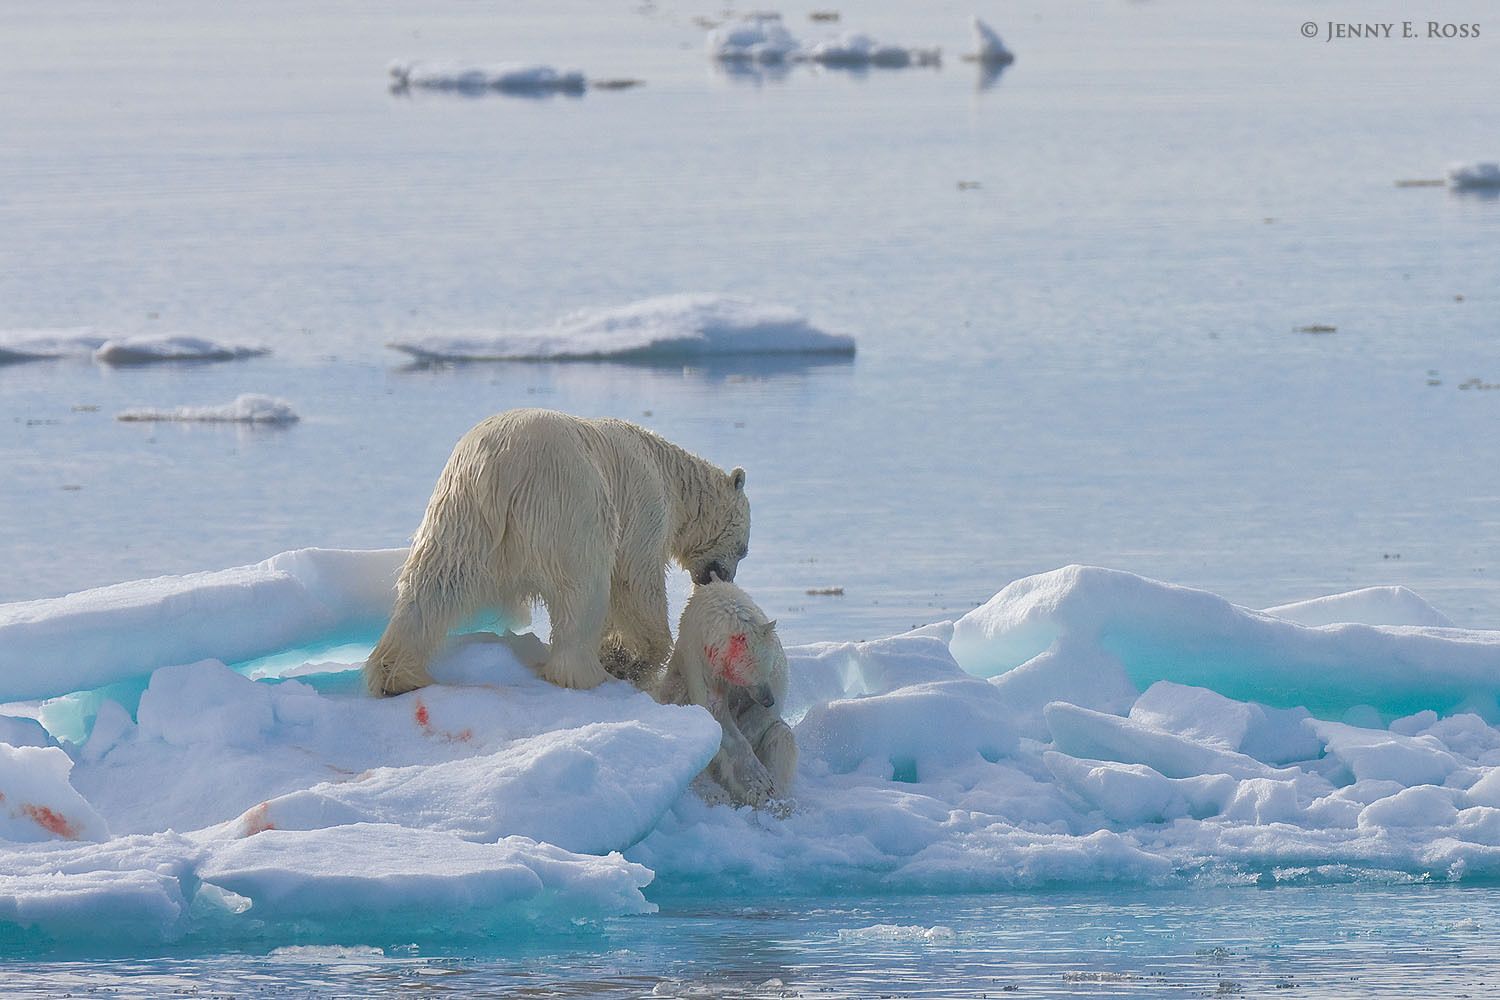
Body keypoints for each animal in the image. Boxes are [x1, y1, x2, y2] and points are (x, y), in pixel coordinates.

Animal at [365, 408, 751, 697]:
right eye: (743, 549)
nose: (720, 576)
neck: (668, 471)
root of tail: (499, 467)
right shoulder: (644, 504)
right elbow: (634, 578)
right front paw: (631, 659)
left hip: (460, 511)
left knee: (434, 585)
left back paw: (397, 675)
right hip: (569, 504)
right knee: (583, 590)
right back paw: (586, 673)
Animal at [654, 576, 797, 809]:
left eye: (766, 669)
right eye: (754, 675)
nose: (768, 700)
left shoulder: (775, 665)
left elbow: (765, 714)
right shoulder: (700, 659)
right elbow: (714, 711)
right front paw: (757, 780)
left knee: (782, 737)